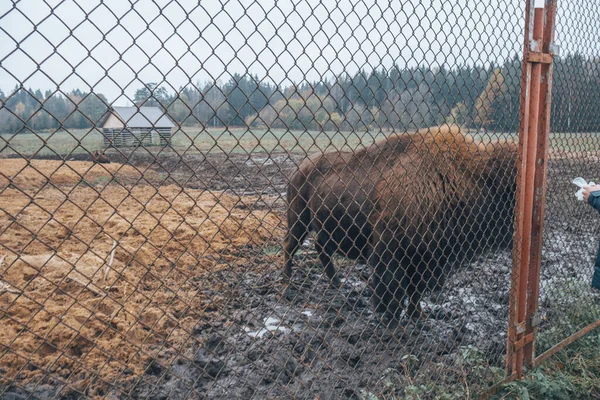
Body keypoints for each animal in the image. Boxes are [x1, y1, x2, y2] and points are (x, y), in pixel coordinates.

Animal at [284, 126, 516, 320]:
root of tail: (299, 169)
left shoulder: (426, 258)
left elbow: (415, 290)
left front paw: (417, 315)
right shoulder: (391, 249)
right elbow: (392, 284)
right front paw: (389, 316)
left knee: (320, 246)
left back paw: (336, 282)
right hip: (299, 220)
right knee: (290, 246)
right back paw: (287, 285)